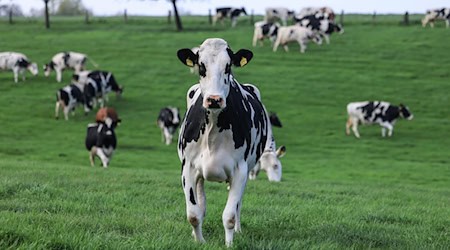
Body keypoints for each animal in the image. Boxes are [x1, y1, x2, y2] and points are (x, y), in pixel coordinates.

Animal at [178, 38, 272, 247]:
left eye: (228, 66)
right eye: (201, 66)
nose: (214, 99)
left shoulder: (240, 171)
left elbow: (229, 214)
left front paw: (229, 244)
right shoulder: (188, 168)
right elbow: (193, 214)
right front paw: (199, 241)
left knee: (237, 206)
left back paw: (238, 230)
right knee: (201, 201)